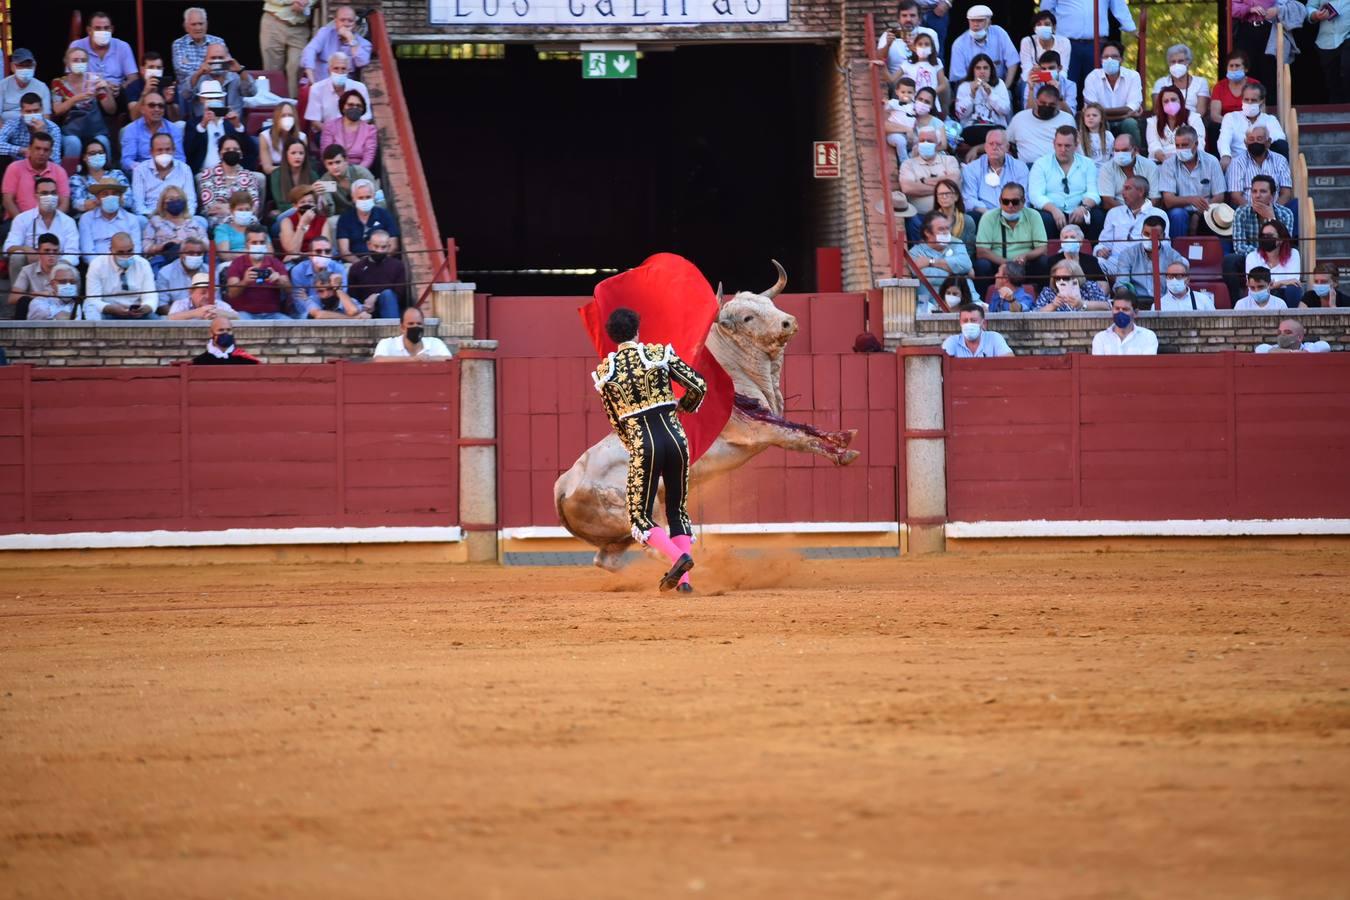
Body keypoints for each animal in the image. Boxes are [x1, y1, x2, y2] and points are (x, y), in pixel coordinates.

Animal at [550, 260, 858, 569]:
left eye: (769, 304)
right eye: (747, 318)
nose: (788, 322)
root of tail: (563, 486)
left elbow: (802, 428)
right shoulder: (759, 430)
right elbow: (798, 435)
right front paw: (843, 449)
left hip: (616, 534)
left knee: (607, 560)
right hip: (642, 507)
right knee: (654, 542)